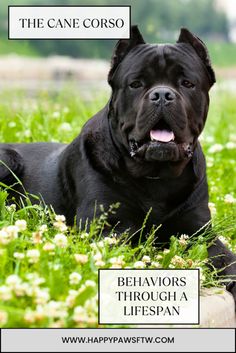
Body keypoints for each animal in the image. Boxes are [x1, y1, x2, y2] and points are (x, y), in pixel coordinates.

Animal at [0, 26, 236, 300]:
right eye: (136, 84)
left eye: (187, 83)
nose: (162, 95)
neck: (157, 176)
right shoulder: (106, 228)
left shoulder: (200, 231)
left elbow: (225, 257)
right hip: (8, 159)